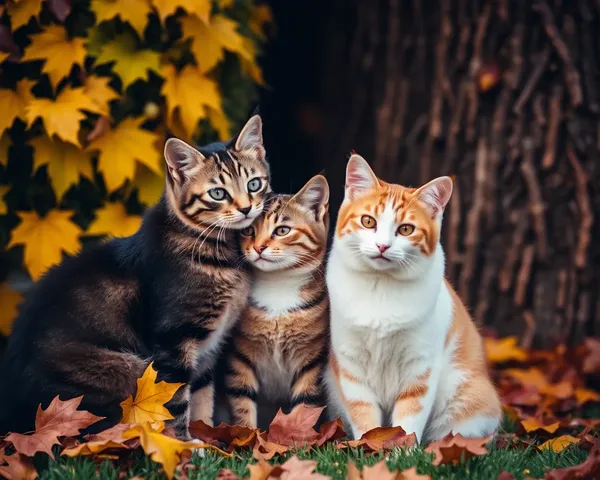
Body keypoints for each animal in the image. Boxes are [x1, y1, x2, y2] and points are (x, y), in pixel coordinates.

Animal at [0, 116, 272, 438]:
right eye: (218, 193)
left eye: (254, 184)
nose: (246, 208)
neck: (221, 254)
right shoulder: (173, 341)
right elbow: (177, 401)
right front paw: (184, 444)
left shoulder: (208, 347)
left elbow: (202, 398)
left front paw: (208, 437)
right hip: (124, 369)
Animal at [223, 175, 330, 428]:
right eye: (248, 230)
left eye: (282, 230)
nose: (258, 247)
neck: (278, 284)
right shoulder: (240, 354)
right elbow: (242, 402)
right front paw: (246, 434)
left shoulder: (311, 358)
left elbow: (305, 405)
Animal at [324, 156, 502, 444]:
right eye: (368, 221)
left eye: (406, 229)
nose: (382, 246)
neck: (380, 288)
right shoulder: (351, 365)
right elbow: (363, 414)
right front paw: (366, 445)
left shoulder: (420, 368)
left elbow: (409, 417)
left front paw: (404, 450)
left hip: (471, 402)